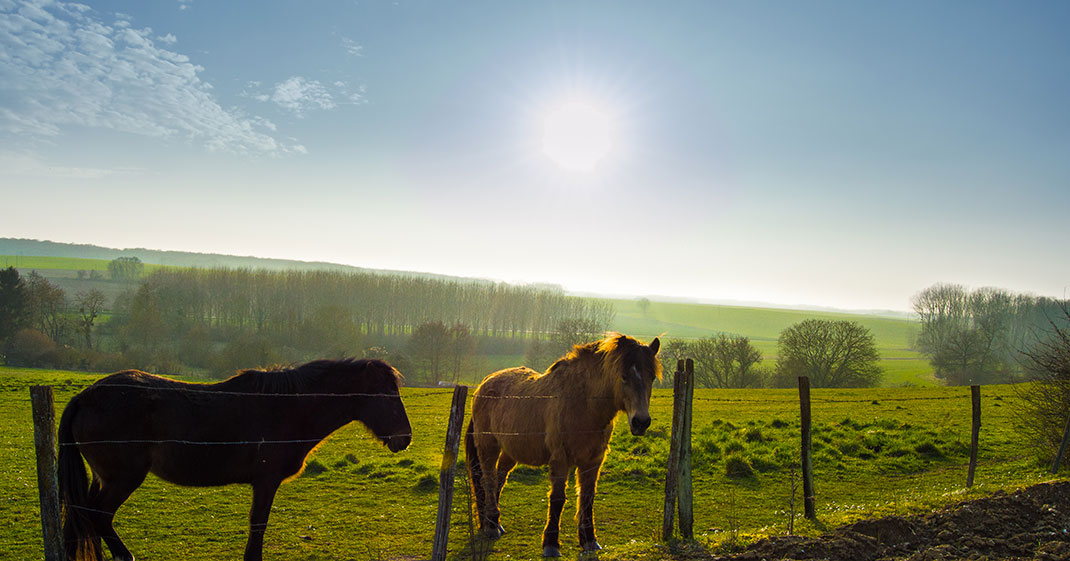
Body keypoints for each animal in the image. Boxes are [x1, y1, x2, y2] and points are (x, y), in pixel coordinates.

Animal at [57, 358, 412, 561]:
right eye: (385, 394)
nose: (404, 438)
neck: (287, 408)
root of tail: (84, 397)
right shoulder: (266, 482)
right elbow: (258, 525)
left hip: (104, 478)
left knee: (81, 517)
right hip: (123, 478)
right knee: (98, 516)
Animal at [465, 333, 661, 557]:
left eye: (651, 377)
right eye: (624, 376)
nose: (641, 422)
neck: (583, 404)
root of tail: (484, 383)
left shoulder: (593, 461)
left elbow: (587, 498)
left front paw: (589, 540)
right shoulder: (560, 459)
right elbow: (557, 499)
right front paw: (551, 544)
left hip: (510, 452)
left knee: (499, 479)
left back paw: (494, 522)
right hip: (488, 447)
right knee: (488, 480)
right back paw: (491, 527)